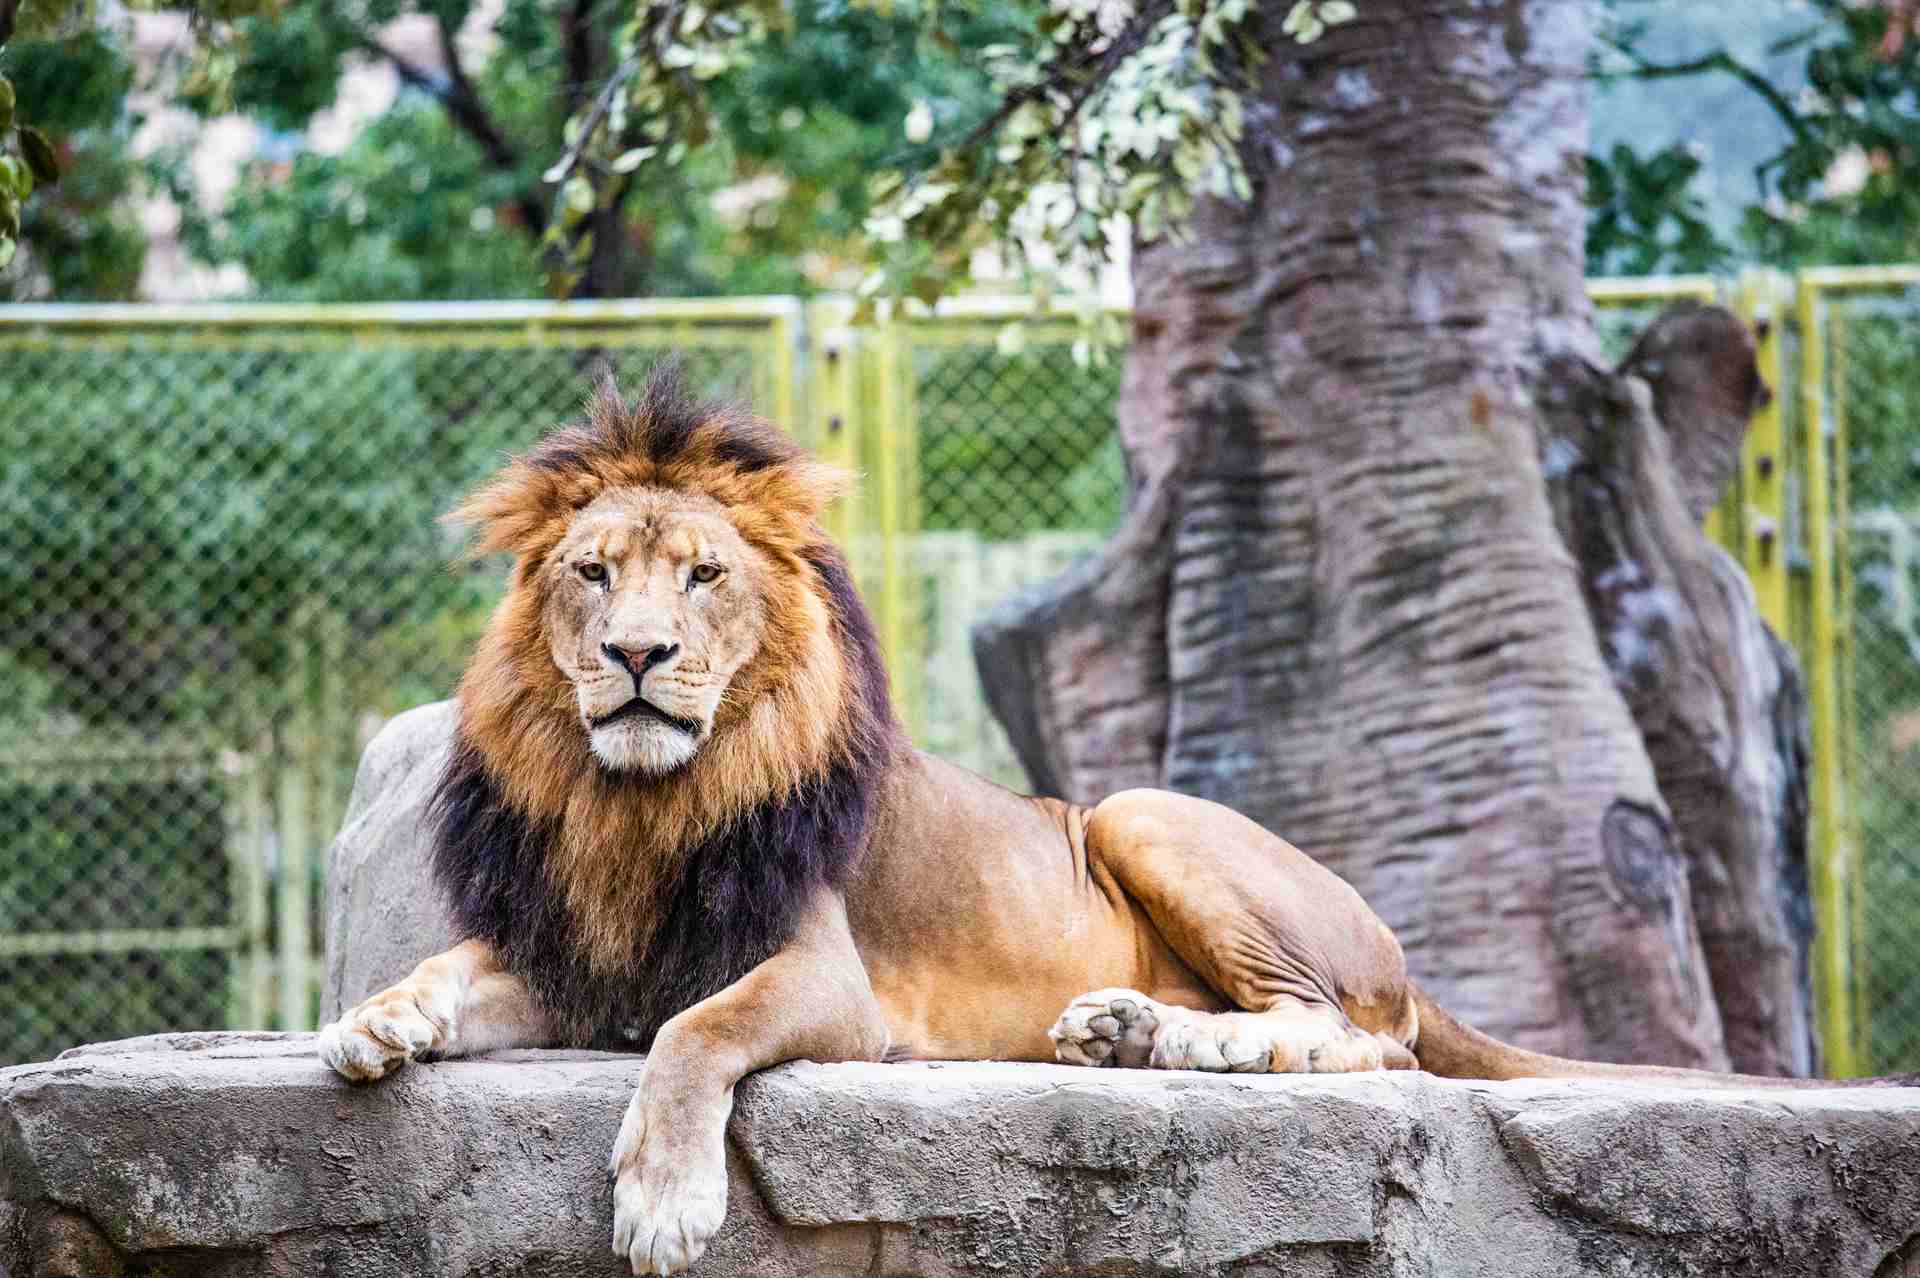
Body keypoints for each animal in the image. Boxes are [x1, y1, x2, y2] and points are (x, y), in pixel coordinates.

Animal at [322, 362, 1896, 1266]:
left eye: (701, 576)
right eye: (592, 572)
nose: (637, 655)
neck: (637, 800)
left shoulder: (821, 979)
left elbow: (693, 1033)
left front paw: (661, 1203)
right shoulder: (576, 952)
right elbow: (453, 969)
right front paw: (374, 1024)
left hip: (1147, 813)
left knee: (1365, 1043)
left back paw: (1194, 1039)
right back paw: (1127, 1032)